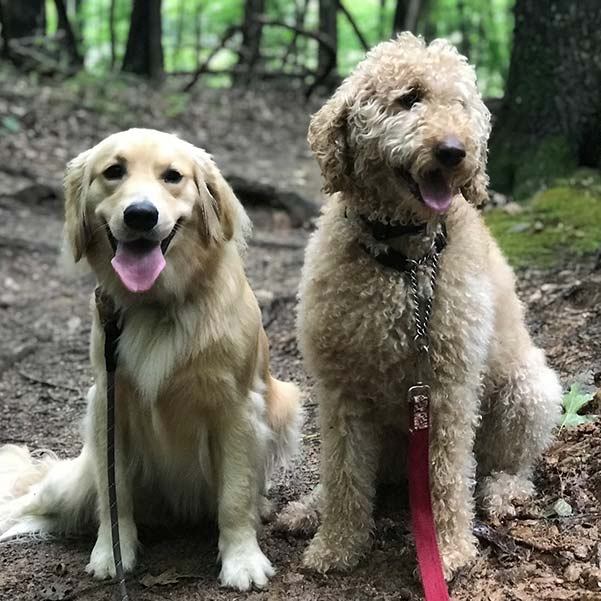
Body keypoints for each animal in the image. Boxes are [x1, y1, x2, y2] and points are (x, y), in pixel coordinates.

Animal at [278, 34, 560, 576]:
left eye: (462, 105)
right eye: (410, 98)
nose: (454, 151)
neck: (403, 261)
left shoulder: (449, 388)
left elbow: (447, 475)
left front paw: (448, 551)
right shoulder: (340, 389)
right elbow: (344, 473)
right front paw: (336, 544)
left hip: (528, 390)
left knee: (509, 463)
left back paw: (502, 492)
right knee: (366, 476)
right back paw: (311, 507)